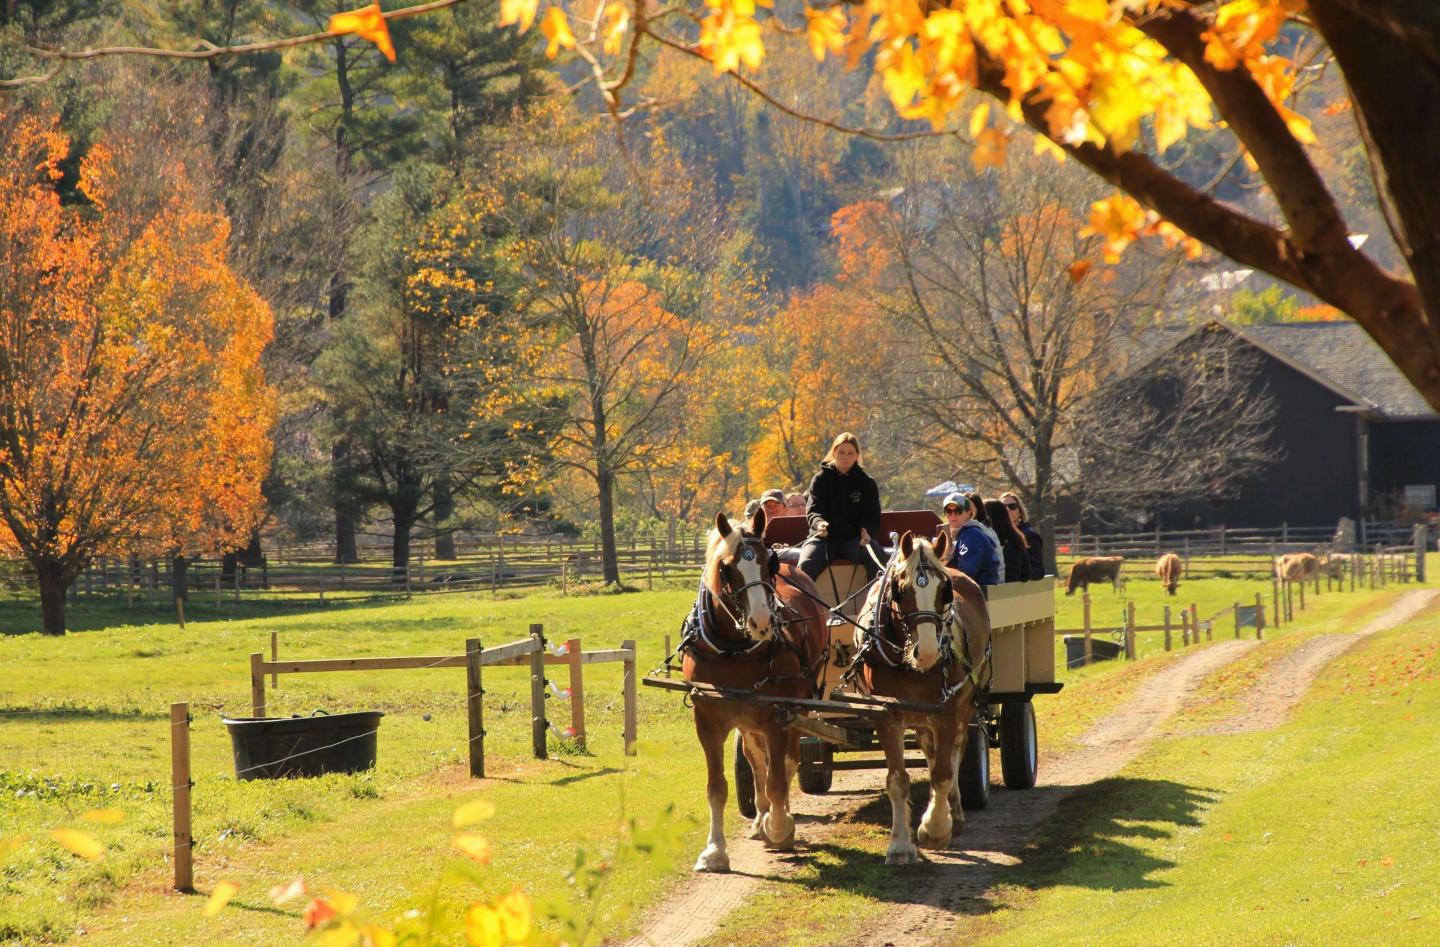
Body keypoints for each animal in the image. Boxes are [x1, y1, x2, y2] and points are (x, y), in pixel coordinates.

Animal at [679, 506, 829, 869]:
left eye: (767, 564)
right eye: (727, 568)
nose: (762, 622)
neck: (733, 650)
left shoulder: (777, 716)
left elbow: (778, 779)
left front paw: (779, 829)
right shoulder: (707, 720)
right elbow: (717, 787)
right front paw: (715, 850)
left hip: (797, 708)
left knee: (787, 761)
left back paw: (777, 820)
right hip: (748, 720)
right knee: (756, 759)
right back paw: (761, 817)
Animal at [852, 529, 990, 863]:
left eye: (945, 590)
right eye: (901, 589)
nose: (926, 652)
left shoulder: (949, 710)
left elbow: (942, 773)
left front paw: (935, 829)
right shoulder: (886, 714)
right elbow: (897, 779)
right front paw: (900, 845)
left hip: (965, 702)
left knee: (955, 751)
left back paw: (954, 810)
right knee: (930, 749)